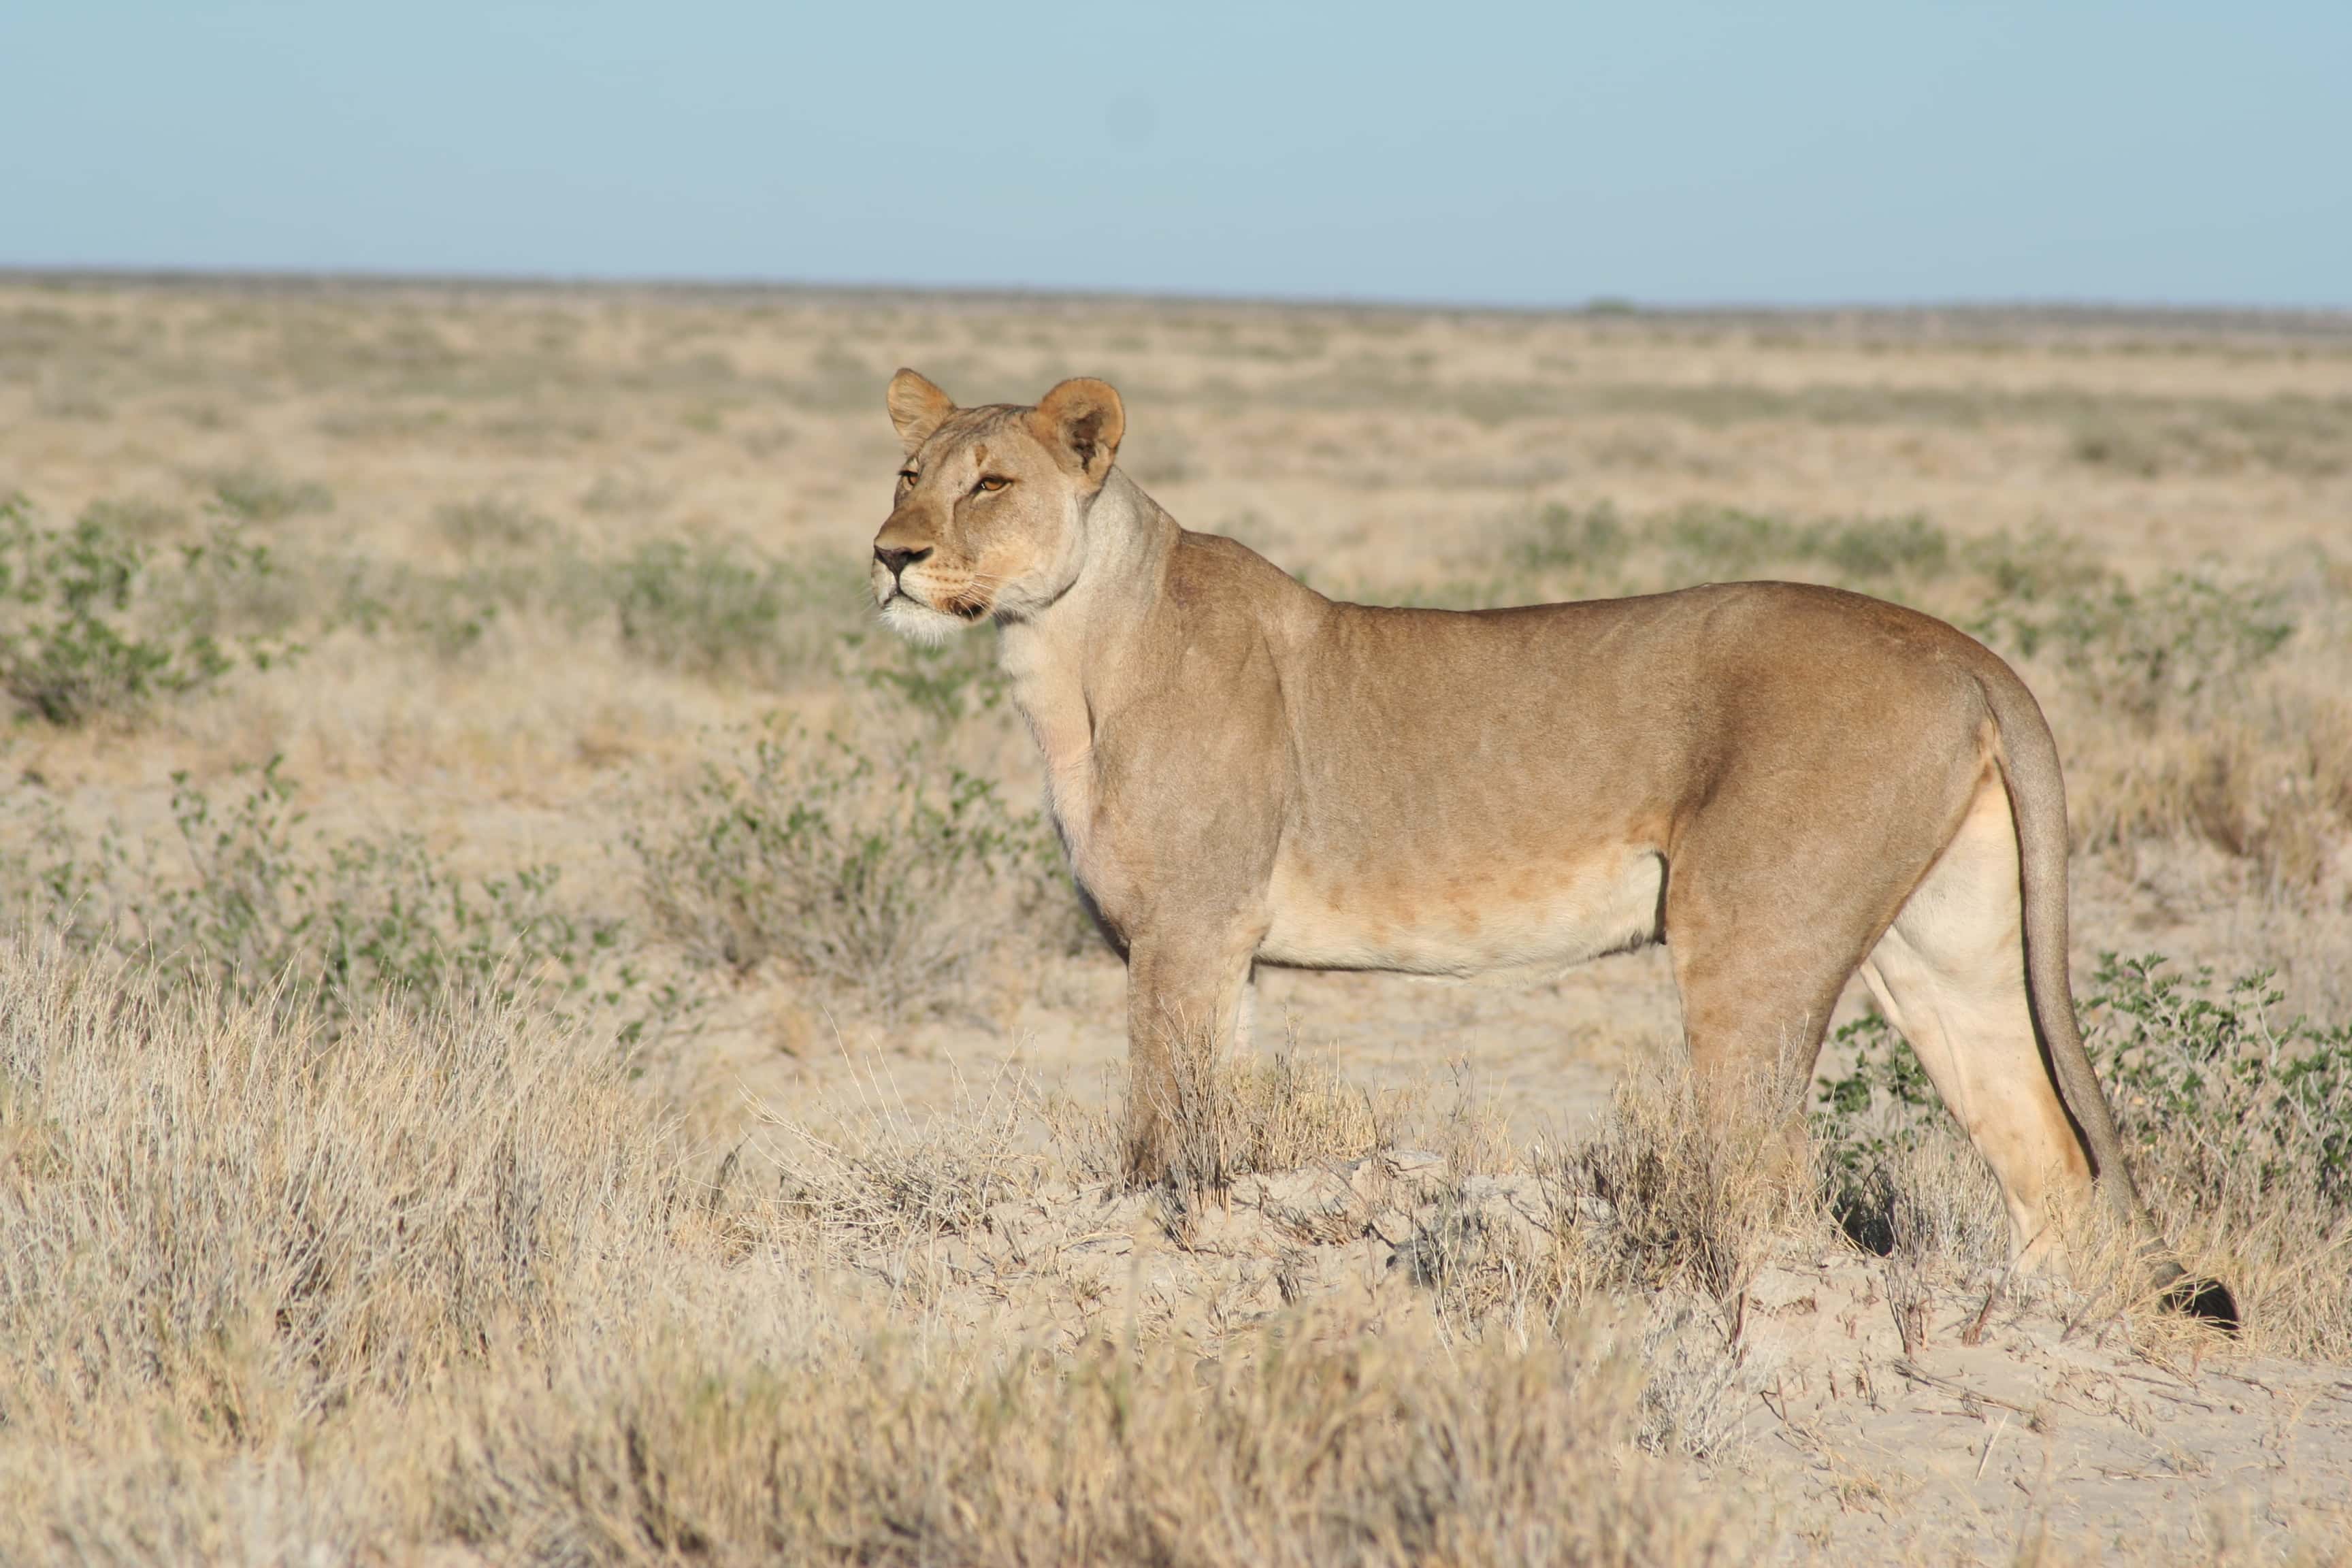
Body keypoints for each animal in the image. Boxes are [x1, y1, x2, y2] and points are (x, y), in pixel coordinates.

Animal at [868, 367, 2232, 1323]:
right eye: (904, 471)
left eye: (990, 484)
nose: (890, 557)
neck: (1061, 655)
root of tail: (1963, 647)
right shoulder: (1221, 949)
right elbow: (1211, 1122)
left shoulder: (1186, 931)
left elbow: (1156, 1137)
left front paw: (1152, 1253)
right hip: (1943, 950)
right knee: (2048, 1159)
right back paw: (2037, 1329)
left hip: (1752, 937)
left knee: (1769, 1174)